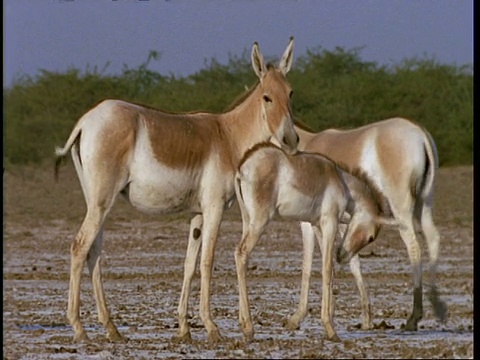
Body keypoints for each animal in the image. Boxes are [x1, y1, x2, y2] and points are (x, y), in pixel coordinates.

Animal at [234, 142, 396, 342]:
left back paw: (243, 323)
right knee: (241, 253)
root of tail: (243, 167)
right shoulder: (329, 223)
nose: (342, 256)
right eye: (371, 237)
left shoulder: (316, 225)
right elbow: (326, 269)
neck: (340, 180)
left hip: (246, 220)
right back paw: (249, 328)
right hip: (259, 222)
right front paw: (330, 329)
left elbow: (314, 269)